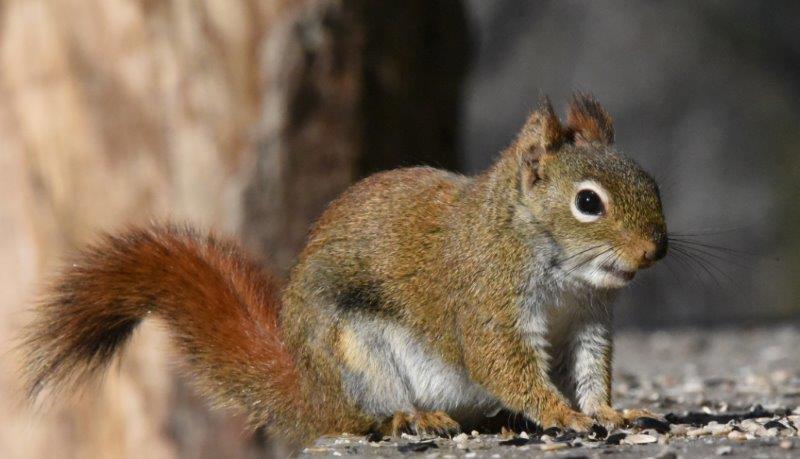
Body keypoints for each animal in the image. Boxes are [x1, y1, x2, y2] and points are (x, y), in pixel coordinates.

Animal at [21, 93, 667, 449]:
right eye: (588, 203)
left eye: (651, 181)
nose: (653, 253)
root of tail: (313, 394)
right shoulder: (488, 299)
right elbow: (502, 364)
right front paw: (561, 414)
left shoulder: (587, 323)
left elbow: (590, 373)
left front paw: (610, 412)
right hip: (357, 355)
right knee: (368, 418)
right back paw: (414, 416)